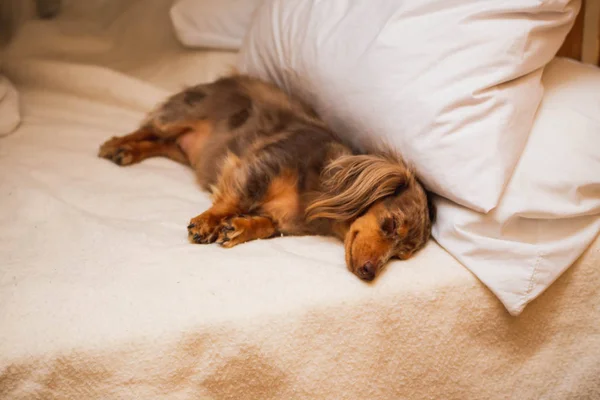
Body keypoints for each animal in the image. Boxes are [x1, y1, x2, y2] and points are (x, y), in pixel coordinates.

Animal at [99, 75, 436, 282]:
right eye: (389, 223)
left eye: (401, 257)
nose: (369, 272)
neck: (316, 190)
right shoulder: (262, 166)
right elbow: (237, 198)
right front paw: (208, 222)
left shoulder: (282, 221)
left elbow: (265, 224)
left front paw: (238, 228)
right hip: (180, 116)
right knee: (148, 128)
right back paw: (117, 145)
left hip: (183, 151)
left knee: (157, 142)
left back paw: (130, 152)